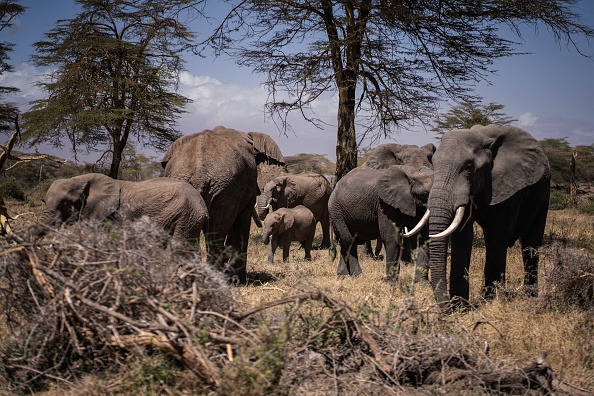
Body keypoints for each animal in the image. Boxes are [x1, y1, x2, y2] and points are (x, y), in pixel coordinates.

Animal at [404, 124, 548, 310]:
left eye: (469, 167)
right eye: (433, 164)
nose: (446, 308)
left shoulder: (509, 186)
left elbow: (499, 234)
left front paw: (489, 302)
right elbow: (462, 236)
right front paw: (461, 307)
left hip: (544, 193)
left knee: (531, 244)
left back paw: (530, 297)